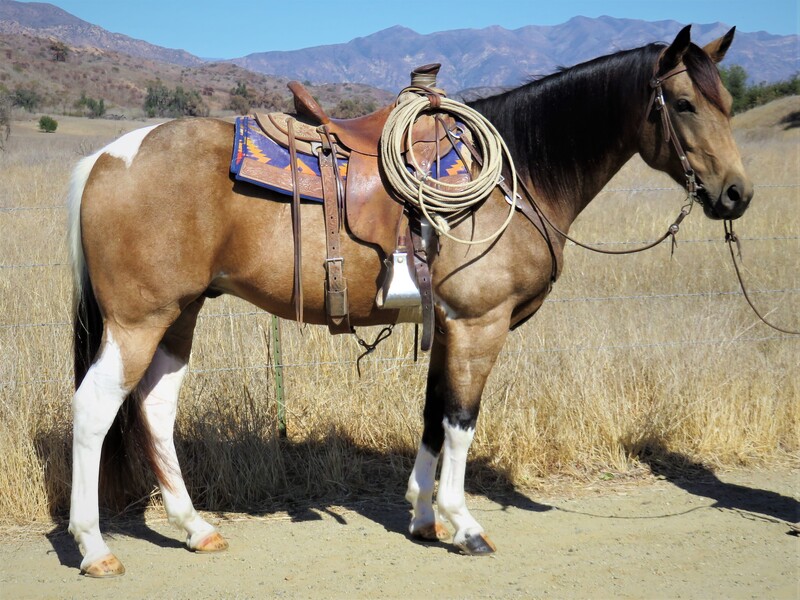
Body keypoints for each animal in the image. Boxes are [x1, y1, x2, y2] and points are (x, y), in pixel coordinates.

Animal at [67, 25, 752, 576]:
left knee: (155, 408)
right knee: (96, 407)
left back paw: (195, 528)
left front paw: (425, 517)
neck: (518, 174)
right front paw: (464, 523)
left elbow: (432, 414)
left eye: (728, 104)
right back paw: (95, 548)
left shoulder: (446, 325)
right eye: (684, 104)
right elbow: (461, 420)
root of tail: (105, 156)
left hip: (178, 316)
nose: (737, 194)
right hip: (138, 321)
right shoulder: (479, 324)